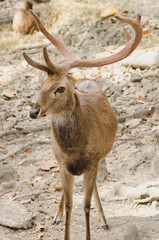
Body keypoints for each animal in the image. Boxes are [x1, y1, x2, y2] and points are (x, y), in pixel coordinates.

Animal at [23, 10, 143, 240]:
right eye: (40, 85)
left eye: (60, 89)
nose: (33, 111)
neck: (75, 148)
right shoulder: (62, 164)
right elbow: (70, 205)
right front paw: (62, 221)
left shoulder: (93, 162)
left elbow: (85, 205)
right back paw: (56, 216)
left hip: (101, 157)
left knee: (95, 186)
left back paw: (104, 220)